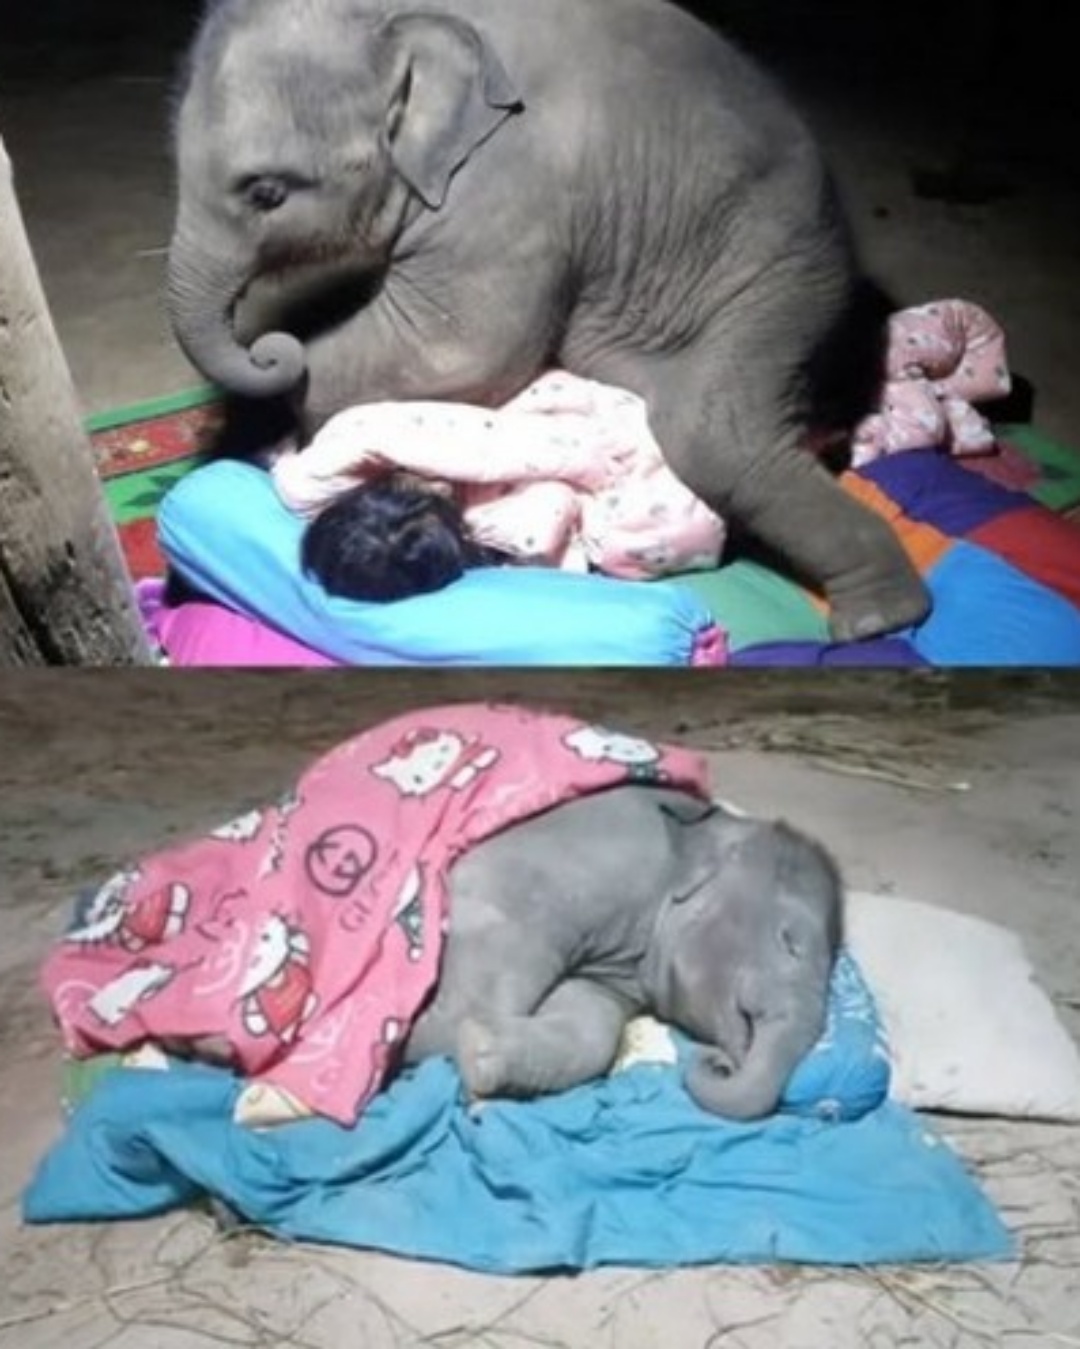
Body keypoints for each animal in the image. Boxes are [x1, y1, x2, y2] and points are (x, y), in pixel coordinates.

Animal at [166, 0, 930, 639]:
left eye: (267, 193)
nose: (268, 347)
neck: (405, 17)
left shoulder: (514, 188)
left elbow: (456, 347)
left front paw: (289, 428)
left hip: (782, 281)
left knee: (716, 437)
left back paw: (876, 621)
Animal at [402, 785, 844, 1121]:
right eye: (790, 942)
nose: (720, 1063)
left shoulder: (613, 973)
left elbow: (591, 1026)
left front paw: (480, 1056)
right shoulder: (589, 862)